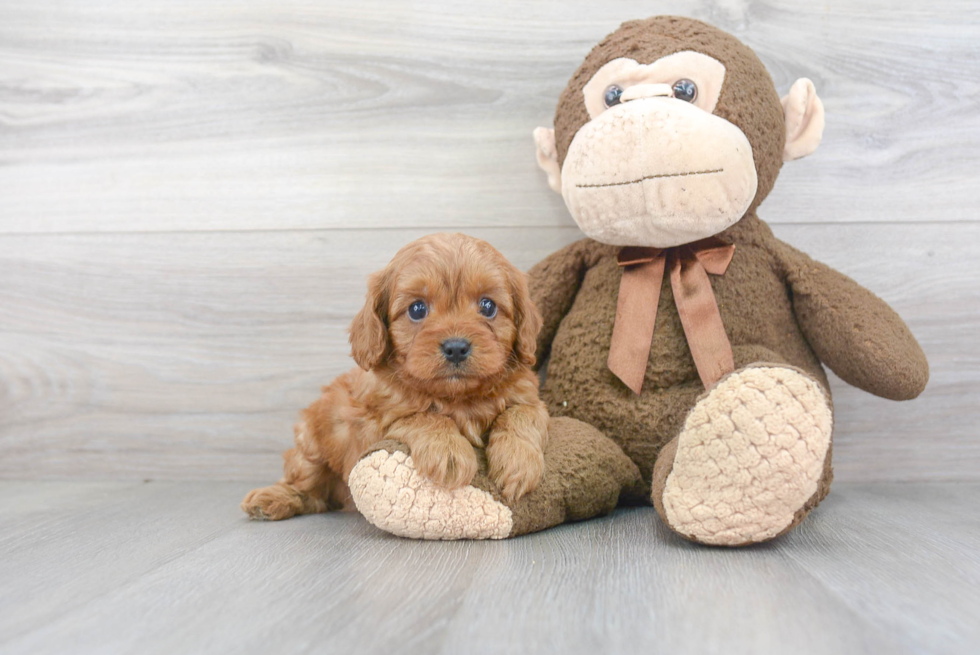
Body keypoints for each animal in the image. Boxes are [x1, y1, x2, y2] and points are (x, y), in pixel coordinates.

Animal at [243, 233, 552, 520]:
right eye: (417, 309)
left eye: (488, 306)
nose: (456, 347)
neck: (458, 397)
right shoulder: (374, 426)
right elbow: (422, 416)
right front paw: (449, 451)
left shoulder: (530, 398)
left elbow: (522, 414)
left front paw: (518, 461)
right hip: (312, 441)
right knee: (307, 486)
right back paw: (271, 499)